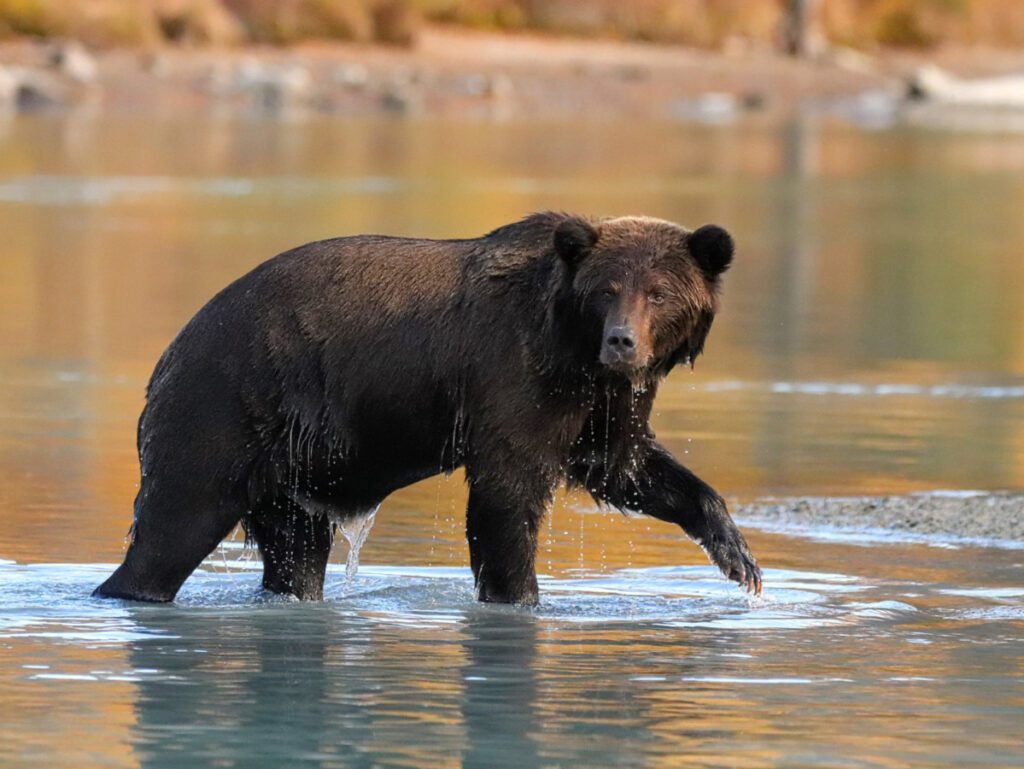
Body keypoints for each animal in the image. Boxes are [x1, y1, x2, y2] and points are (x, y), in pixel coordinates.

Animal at [94, 214, 761, 606]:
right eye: (606, 290)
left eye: (660, 292)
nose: (623, 341)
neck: (575, 352)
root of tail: (170, 352)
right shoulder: (514, 376)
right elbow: (507, 496)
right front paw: (519, 595)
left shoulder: (606, 401)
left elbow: (624, 466)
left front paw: (740, 560)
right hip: (221, 409)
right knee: (173, 527)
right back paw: (127, 590)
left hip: (292, 466)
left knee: (295, 551)